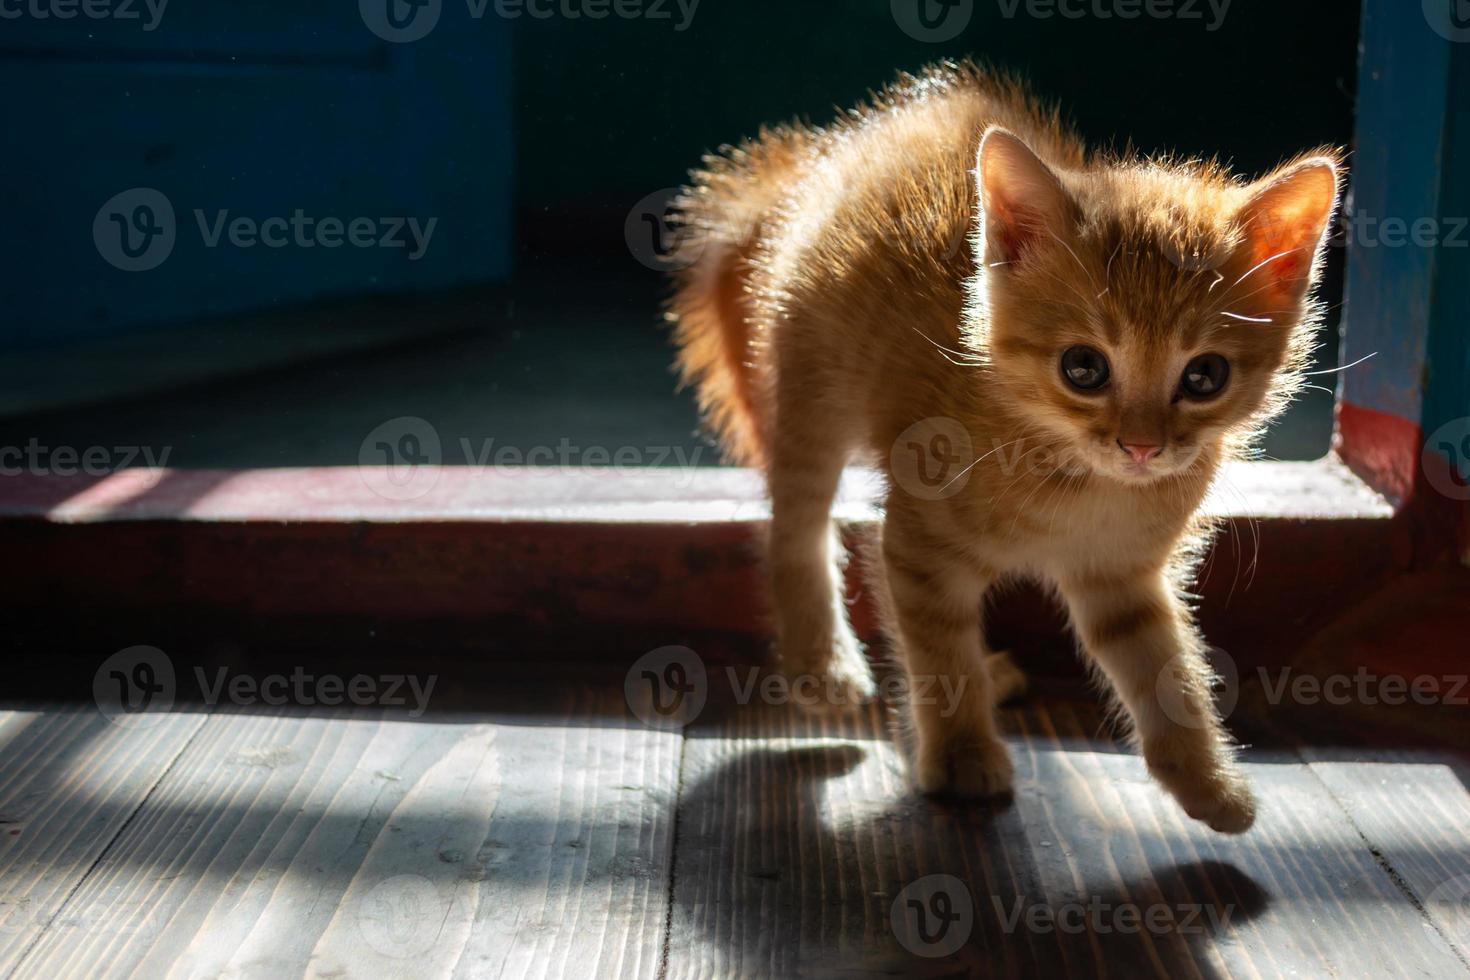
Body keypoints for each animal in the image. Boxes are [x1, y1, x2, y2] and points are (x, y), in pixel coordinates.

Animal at [667, 59, 1346, 834]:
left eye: (1205, 376)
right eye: (1083, 368)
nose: (1142, 447)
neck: (1077, 480)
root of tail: (826, 154)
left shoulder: (1121, 574)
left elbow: (1161, 664)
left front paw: (1205, 781)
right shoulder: (920, 541)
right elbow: (939, 652)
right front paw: (962, 754)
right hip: (813, 389)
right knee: (797, 523)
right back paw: (823, 663)